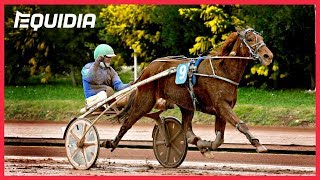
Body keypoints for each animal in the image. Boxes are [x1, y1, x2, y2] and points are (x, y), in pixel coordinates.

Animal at [109, 27, 272, 158]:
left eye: (262, 39)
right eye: (250, 39)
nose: (268, 56)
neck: (222, 71)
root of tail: (148, 68)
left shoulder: (222, 110)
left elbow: (219, 139)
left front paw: (205, 146)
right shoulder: (221, 106)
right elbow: (240, 125)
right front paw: (259, 145)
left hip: (186, 105)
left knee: (187, 130)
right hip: (145, 101)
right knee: (128, 121)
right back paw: (111, 143)